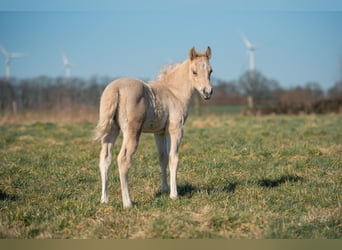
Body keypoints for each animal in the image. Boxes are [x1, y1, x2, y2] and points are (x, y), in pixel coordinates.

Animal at [95, 46, 212, 207]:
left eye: (210, 71)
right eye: (194, 71)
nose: (208, 92)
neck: (174, 92)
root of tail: (116, 88)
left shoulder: (159, 133)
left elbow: (162, 158)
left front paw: (164, 189)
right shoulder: (176, 130)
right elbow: (173, 158)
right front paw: (174, 195)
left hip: (111, 131)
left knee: (105, 159)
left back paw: (104, 199)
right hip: (132, 132)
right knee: (123, 160)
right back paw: (128, 202)